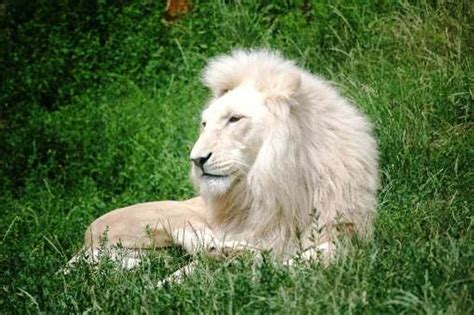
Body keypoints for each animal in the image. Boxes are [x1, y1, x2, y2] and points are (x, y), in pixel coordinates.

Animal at [66, 49, 378, 284]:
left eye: (234, 119)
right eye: (205, 124)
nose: (196, 159)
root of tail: (85, 238)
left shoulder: (351, 233)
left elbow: (322, 253)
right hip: (170, 217)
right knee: (197, 243)